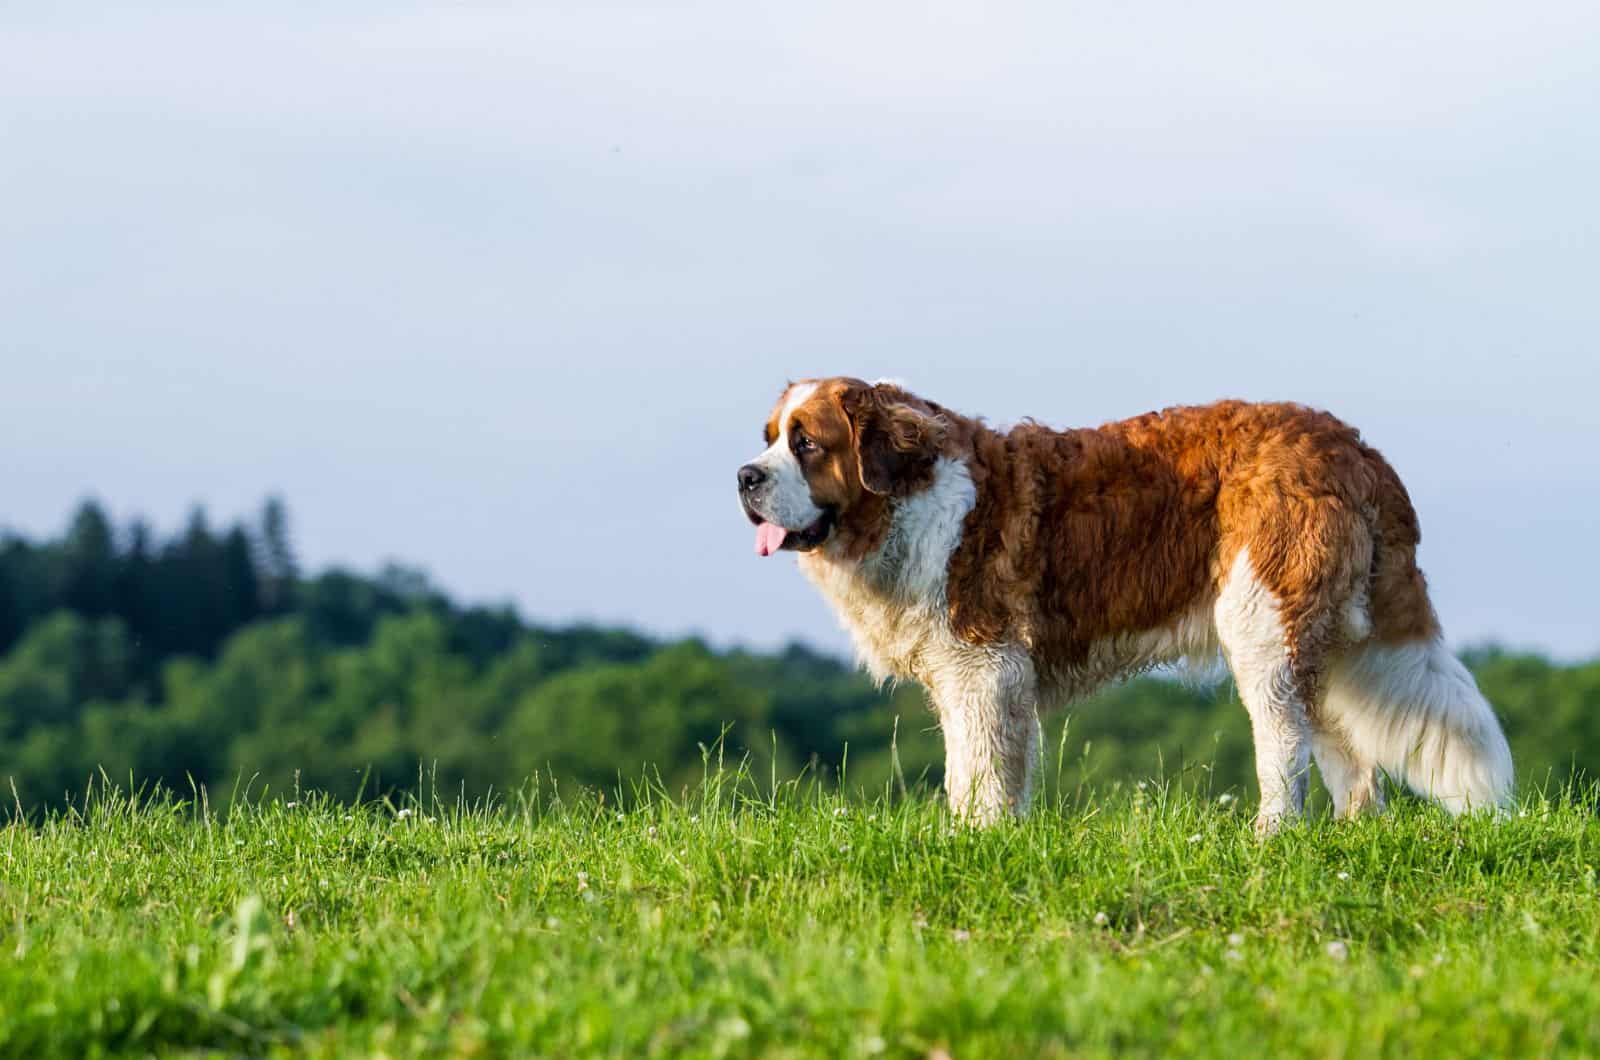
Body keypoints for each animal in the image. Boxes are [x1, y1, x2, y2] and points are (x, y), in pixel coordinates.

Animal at [736, 377, 1510, 832]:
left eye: (807, 443)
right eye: (770, 439)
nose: (745, 476)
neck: (905, 498)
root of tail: (1353, 446)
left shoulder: (983, 668)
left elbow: (980, 770)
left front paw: (979, 840)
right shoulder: (969, 677)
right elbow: (974, 768)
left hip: (1262, 625)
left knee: (1283, 749)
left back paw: (1270, 837)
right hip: (1314, 643)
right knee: (1347, 758)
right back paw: (1351, 838)